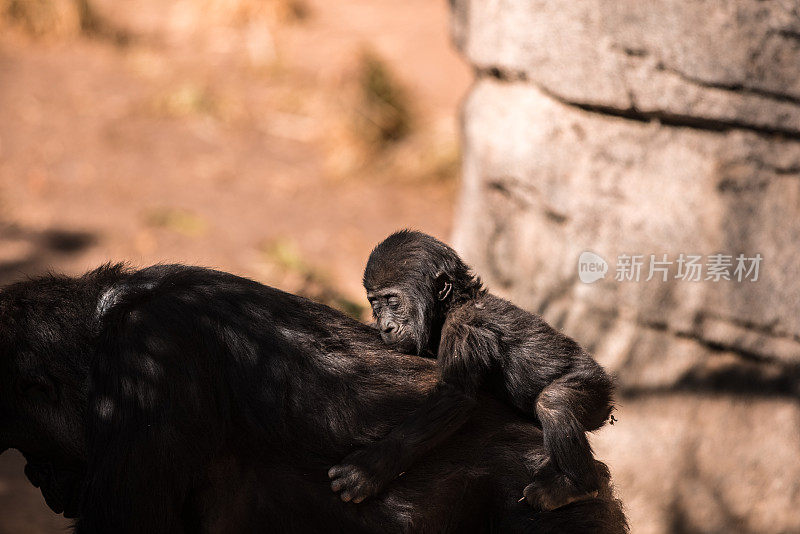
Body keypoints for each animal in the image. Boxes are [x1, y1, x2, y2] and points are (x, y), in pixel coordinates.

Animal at [328, 230, 616, 510]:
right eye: (375, 304)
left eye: (392, 301)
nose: (385, 326)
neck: (451, 306)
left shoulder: (464, 325)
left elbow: (455, 395)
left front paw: (370, 467)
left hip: (594, 388)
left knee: (554, 402)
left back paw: (574, 486)